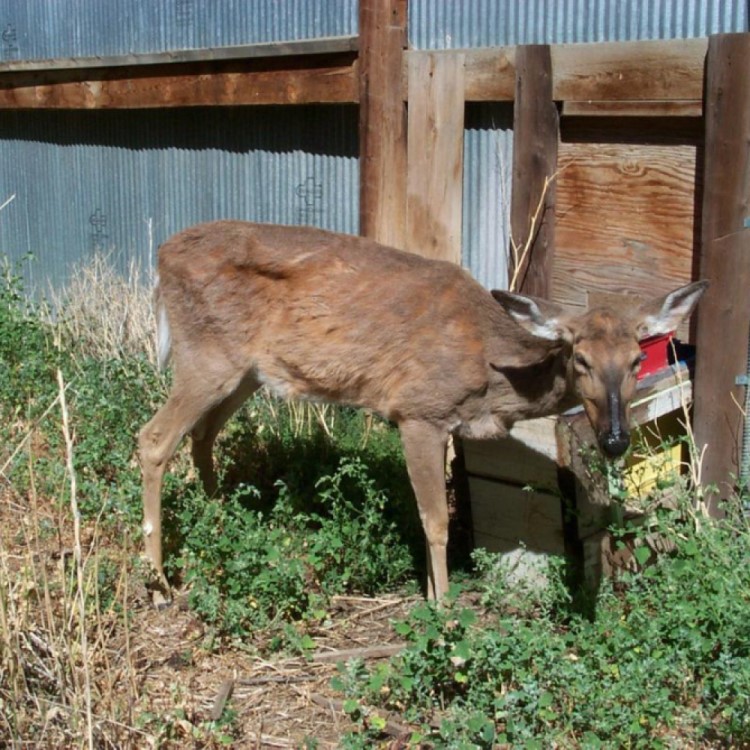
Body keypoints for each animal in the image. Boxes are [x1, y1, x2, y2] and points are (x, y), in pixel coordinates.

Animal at [138, 222, 708, 604]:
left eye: (636, 360)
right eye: (580, 358)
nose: (614, 439)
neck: (490, 373)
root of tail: (161, 257)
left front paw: (436, 595)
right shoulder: (417, 412)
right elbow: (435, 521)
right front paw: (443, 606)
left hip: (246, 372)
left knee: (202, 436)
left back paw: (221, 522)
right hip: (206, 357)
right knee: (153, 438)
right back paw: (162, 582)